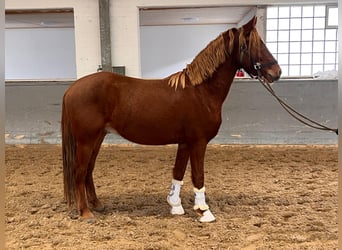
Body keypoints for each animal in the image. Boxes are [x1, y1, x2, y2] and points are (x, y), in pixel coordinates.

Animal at [61, 16, 280, 222]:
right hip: (86, 140)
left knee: (88, 169)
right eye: (253, 44)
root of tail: (72, 89)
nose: (276, 72)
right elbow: (198, 176)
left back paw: (97, 204)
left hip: (98, 137)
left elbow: (178, 172)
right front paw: (203, 211)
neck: (201, 91)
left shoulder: (185, 143)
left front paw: (175, 206)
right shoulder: (198, 142)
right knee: (79, 171)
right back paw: (86, 212)